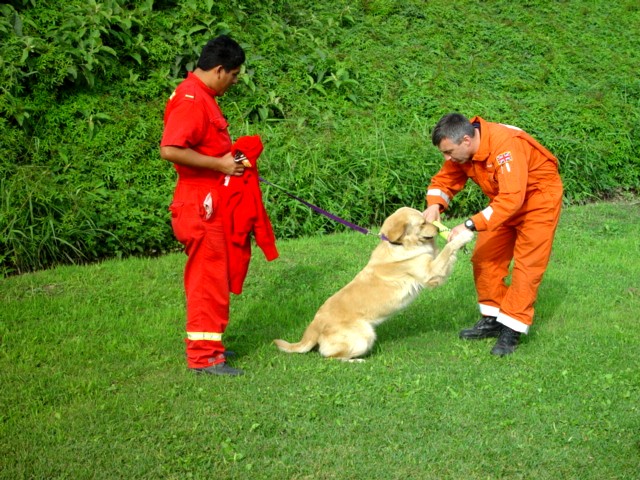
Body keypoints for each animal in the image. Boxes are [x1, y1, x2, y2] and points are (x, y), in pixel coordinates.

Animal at [273, 207, 474, 361]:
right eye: (422, 223)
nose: (436, 228)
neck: (399, 245)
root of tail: (313, 326)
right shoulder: (431, 273)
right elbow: (447, 249)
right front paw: (463, 236)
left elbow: (440, 250)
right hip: (365, 335)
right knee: (330, 357)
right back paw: (356, 361)